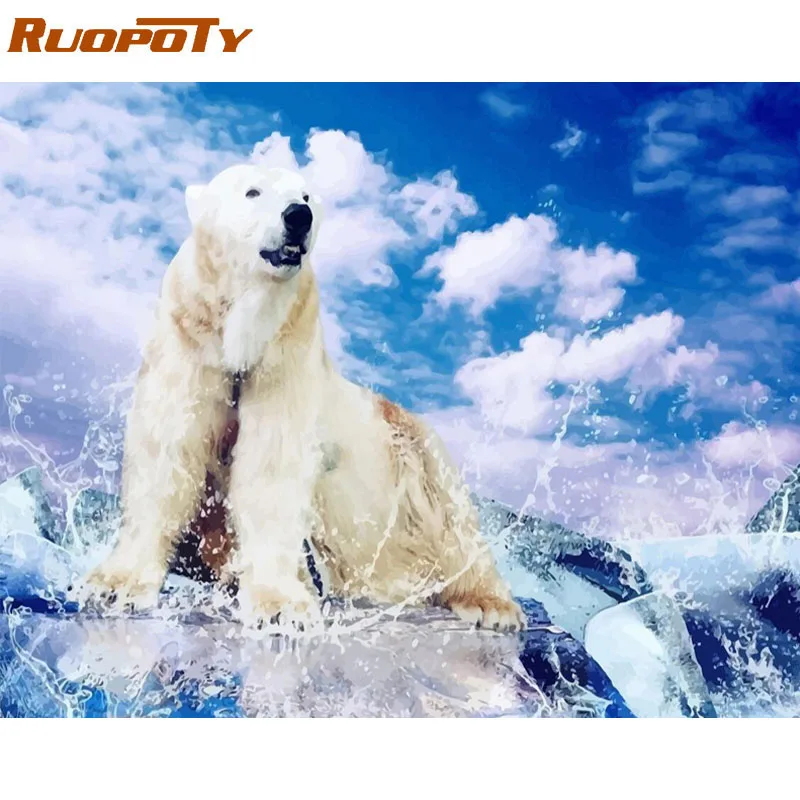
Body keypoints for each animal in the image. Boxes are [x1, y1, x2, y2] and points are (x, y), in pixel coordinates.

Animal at [79, 163, 525, 633]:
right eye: (252, 191)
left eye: (307, 196)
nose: (298, 216)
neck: (244, 332)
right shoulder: (191, 335)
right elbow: (168, 447)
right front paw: (114, 586)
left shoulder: (288, 351)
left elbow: (273, 462)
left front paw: (280, 607)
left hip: (415, 447)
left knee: (454, 517)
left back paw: (489, 605)